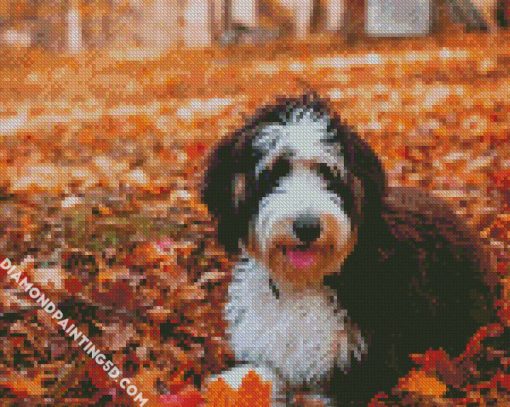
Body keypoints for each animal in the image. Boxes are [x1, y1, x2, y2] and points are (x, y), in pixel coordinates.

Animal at [201, 95, 496, 404]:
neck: (304, 283)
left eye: (328, 173)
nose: (307, 226)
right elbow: (250, 378)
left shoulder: (368, 362)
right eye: (275, 172)